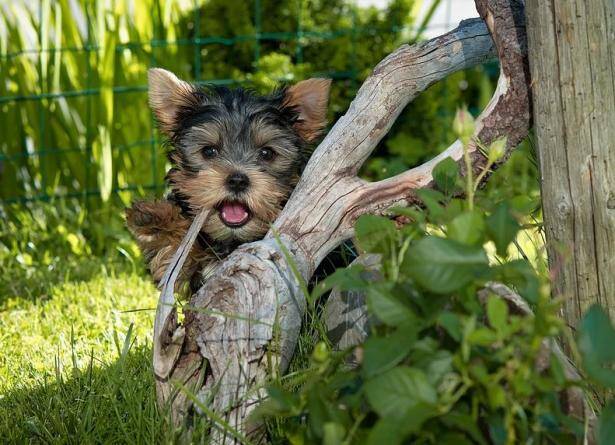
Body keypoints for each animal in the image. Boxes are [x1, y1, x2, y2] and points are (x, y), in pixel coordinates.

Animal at [126, 67, 332, 294]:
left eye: (267, 153)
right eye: (209, 151)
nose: (237, 180)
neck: (232, 239)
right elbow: (174, 258)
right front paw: (157, 219)